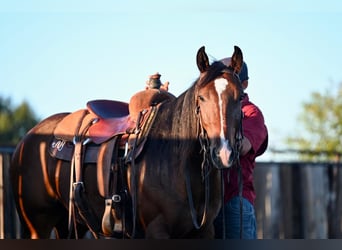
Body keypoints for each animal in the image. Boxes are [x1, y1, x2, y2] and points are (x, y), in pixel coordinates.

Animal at [9, 45, 244, 238]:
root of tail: (28, 138)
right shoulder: (157, 230)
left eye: (241, 96)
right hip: (36, 226)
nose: (223, 153)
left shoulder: (204, 231)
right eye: (201, 98)